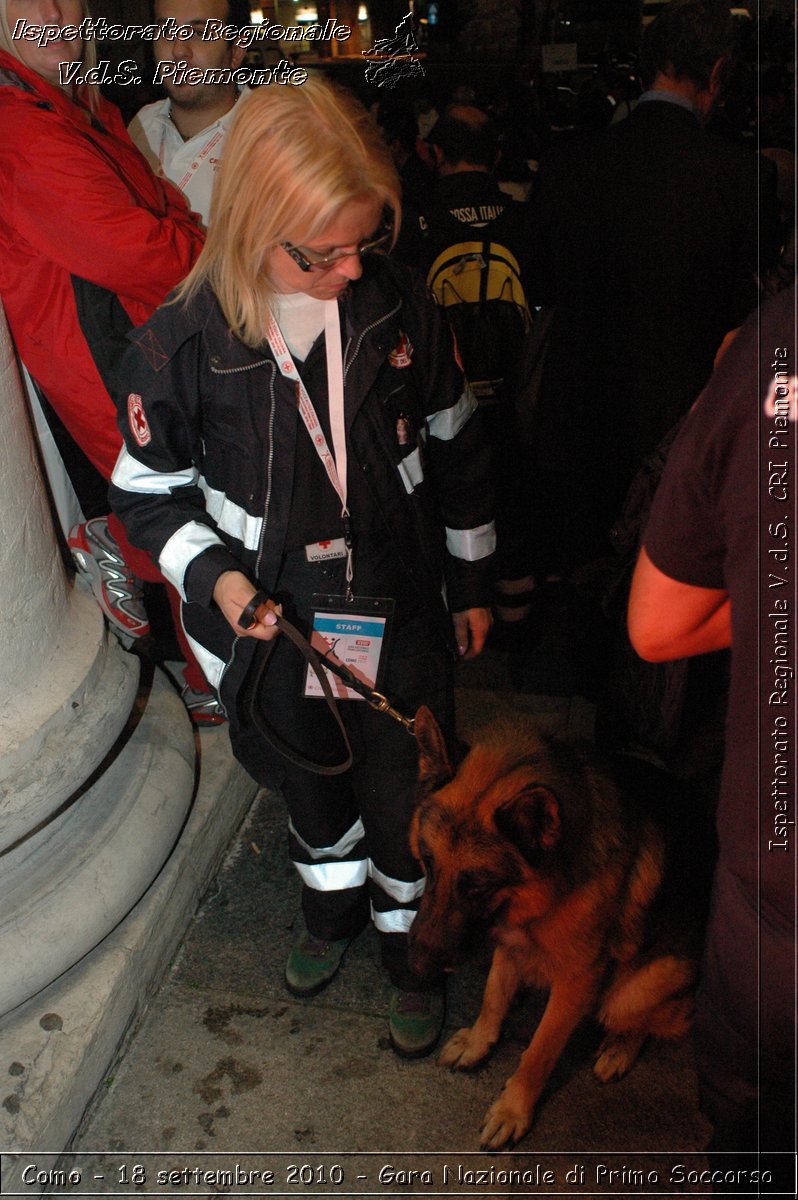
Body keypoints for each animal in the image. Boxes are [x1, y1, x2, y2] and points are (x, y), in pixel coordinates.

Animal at [408, 705, 710, 1147]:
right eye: (427, 863)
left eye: (477, 885)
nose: (417, 968)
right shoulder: (509, 941)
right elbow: (493, 996)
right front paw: (480, 1042)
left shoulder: (576, 983)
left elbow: (539, 1051)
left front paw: (513, 1110)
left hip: (632, 992)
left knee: (655, 1019)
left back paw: (619, 1047)